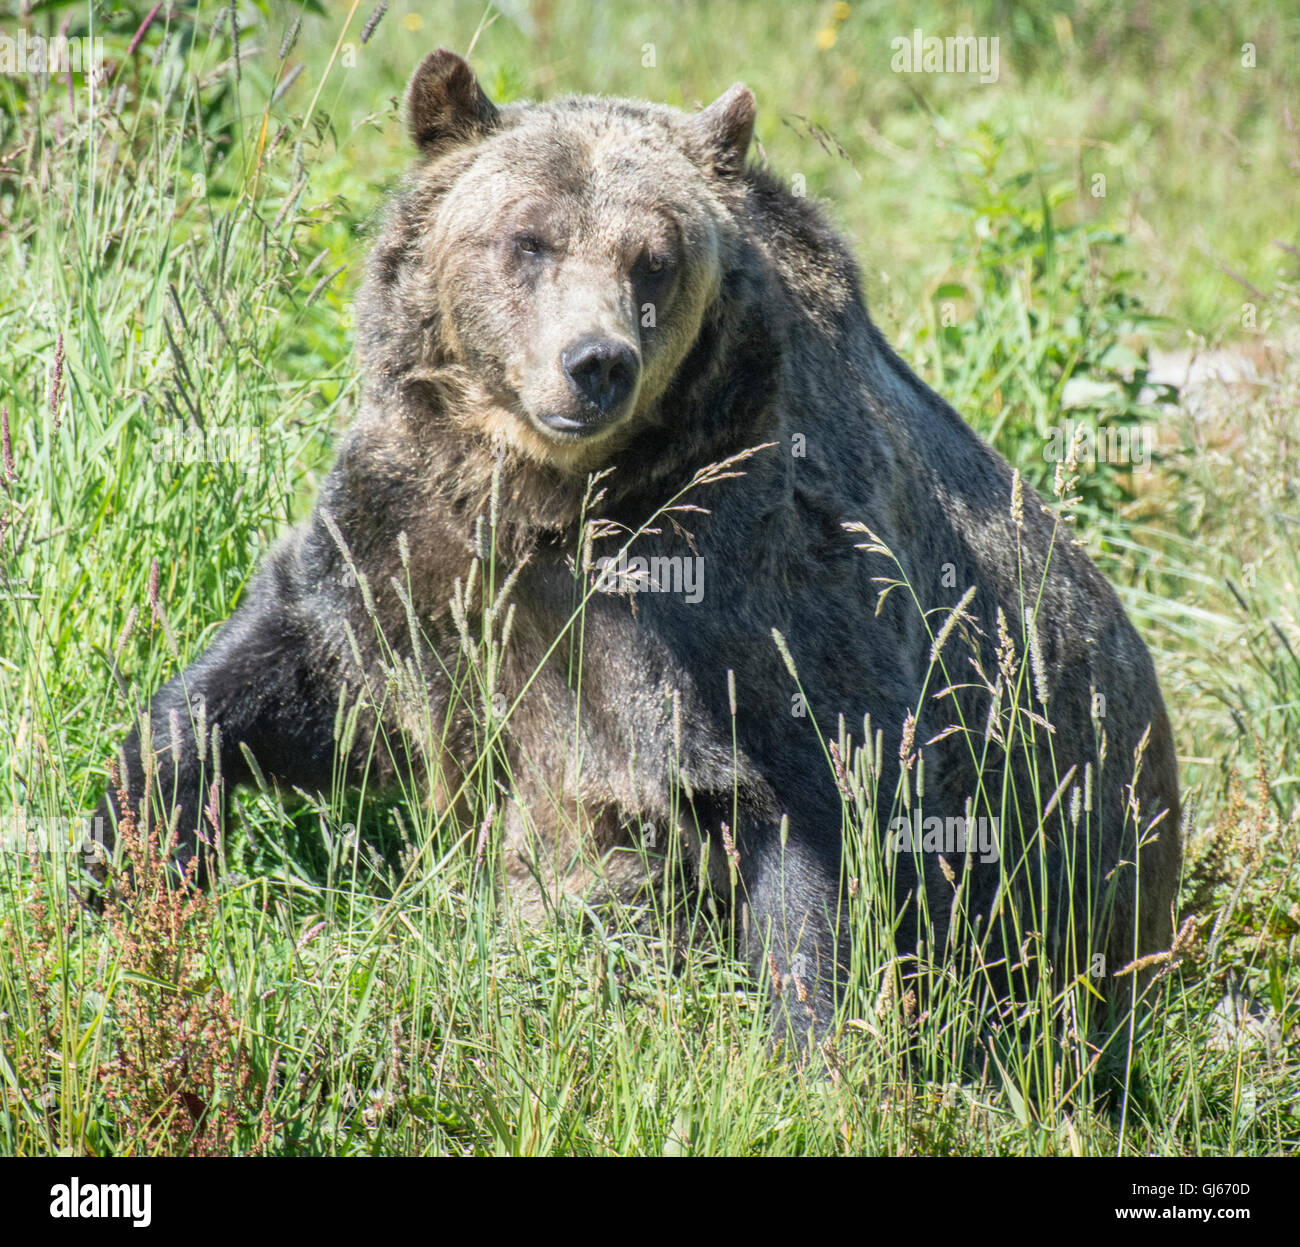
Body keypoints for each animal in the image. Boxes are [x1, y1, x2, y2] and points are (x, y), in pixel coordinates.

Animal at [93, 49, 1182, 1048]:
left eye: (653, 256)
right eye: (526, 237)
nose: (595, 363)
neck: (556, 496)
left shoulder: (745, 604)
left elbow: (815, 833)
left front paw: (811, 1051)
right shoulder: (416, 544)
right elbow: (284, 677)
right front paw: (130, 852)